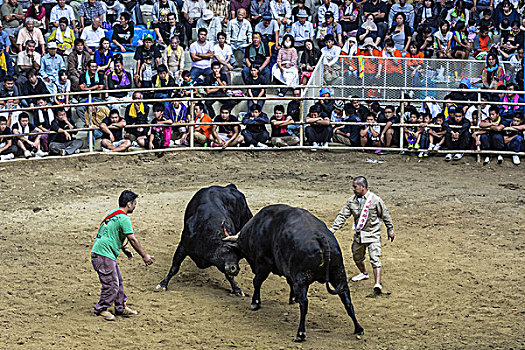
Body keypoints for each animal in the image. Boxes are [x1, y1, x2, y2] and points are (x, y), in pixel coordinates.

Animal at [225, 204, 364, 340]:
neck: (256, 228)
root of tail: (320, 237)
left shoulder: (263, 265)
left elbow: (256, 282)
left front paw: (255, 303)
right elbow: (288, 282)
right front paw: (292, 298)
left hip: (302, 279)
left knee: (304, 303)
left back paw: (300, 333)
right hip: (338, 275)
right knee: (346, 299)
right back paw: (358, 328)